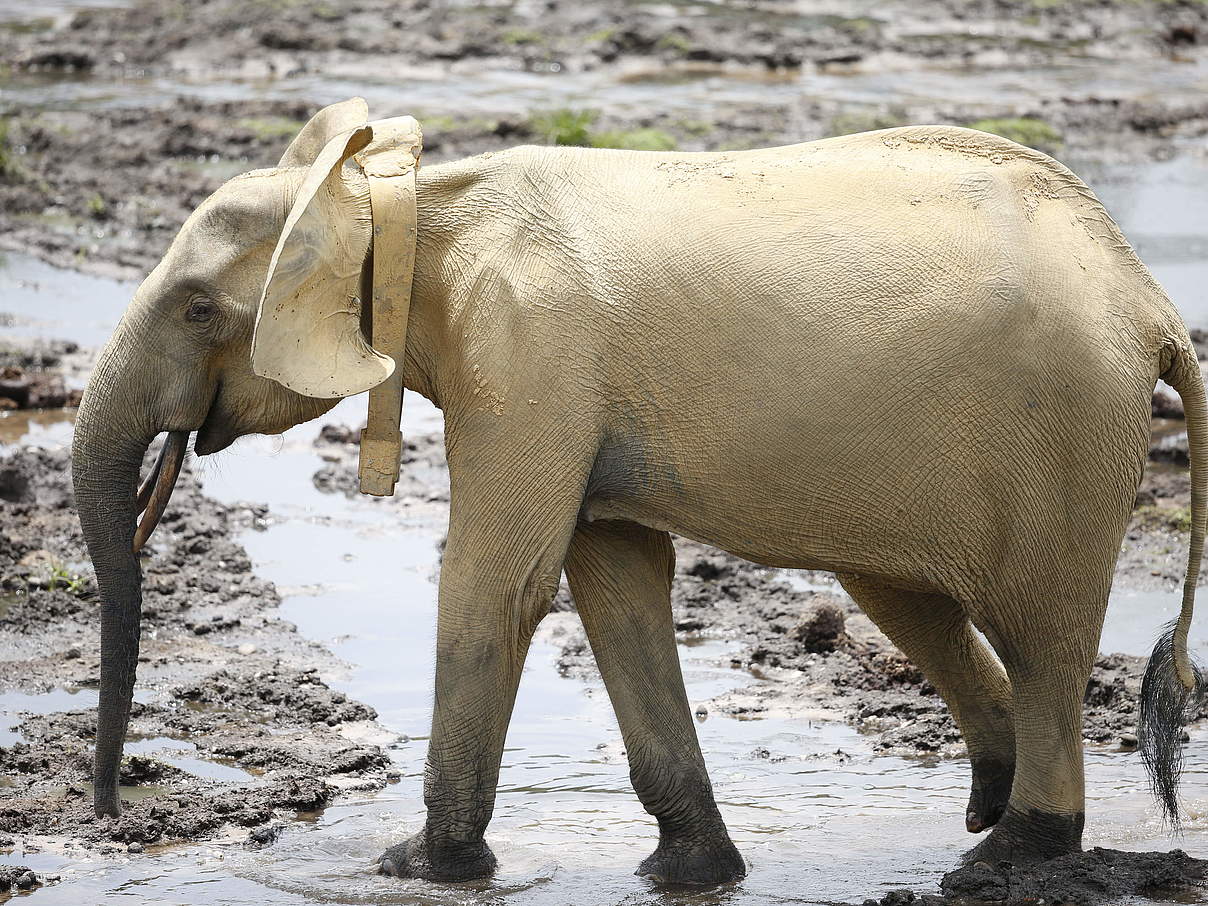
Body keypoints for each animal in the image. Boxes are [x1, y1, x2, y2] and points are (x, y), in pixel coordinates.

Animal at [70, 99, 1203, 889]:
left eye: (197, 307)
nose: (111, 816)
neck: (403, 201)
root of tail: (1145, 297)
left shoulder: (528, 355)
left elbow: (498, 583)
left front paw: (417, 871)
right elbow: (613, 580)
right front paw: (689, 874)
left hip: (1062, 435)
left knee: (1038, 626)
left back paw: (1011, 852)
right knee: (902, 596)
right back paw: (985, 806)